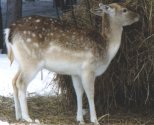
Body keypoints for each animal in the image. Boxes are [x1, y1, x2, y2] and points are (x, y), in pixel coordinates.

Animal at [4, 2, 140, 124]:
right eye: (124, 9)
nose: (138, 15)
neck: (106, 50)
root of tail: (9, 31)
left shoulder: (76, 73)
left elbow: (79, 92)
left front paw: (80, 119)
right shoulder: (88, 69)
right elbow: (90, 93)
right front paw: (95, 120)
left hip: (21, 61)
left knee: (13, 80)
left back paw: (18, 115)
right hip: (31, 61)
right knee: (21, 83)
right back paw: (27, 117)